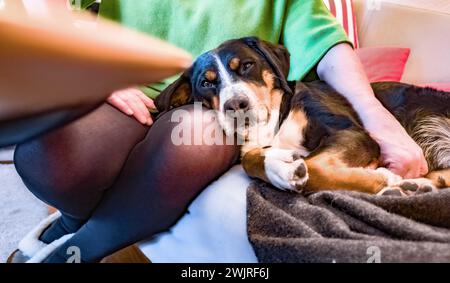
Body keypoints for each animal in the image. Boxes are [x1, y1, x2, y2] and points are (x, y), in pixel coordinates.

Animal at [156, 36, 450, 196]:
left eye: (247, 65)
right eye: (206, 83)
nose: (236, 104)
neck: (275, 122)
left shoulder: (352, 132)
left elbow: (315, 166)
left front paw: (381, 179)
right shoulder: (252, 148)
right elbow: (251, 160)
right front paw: (279, 168)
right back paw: (420, 186)